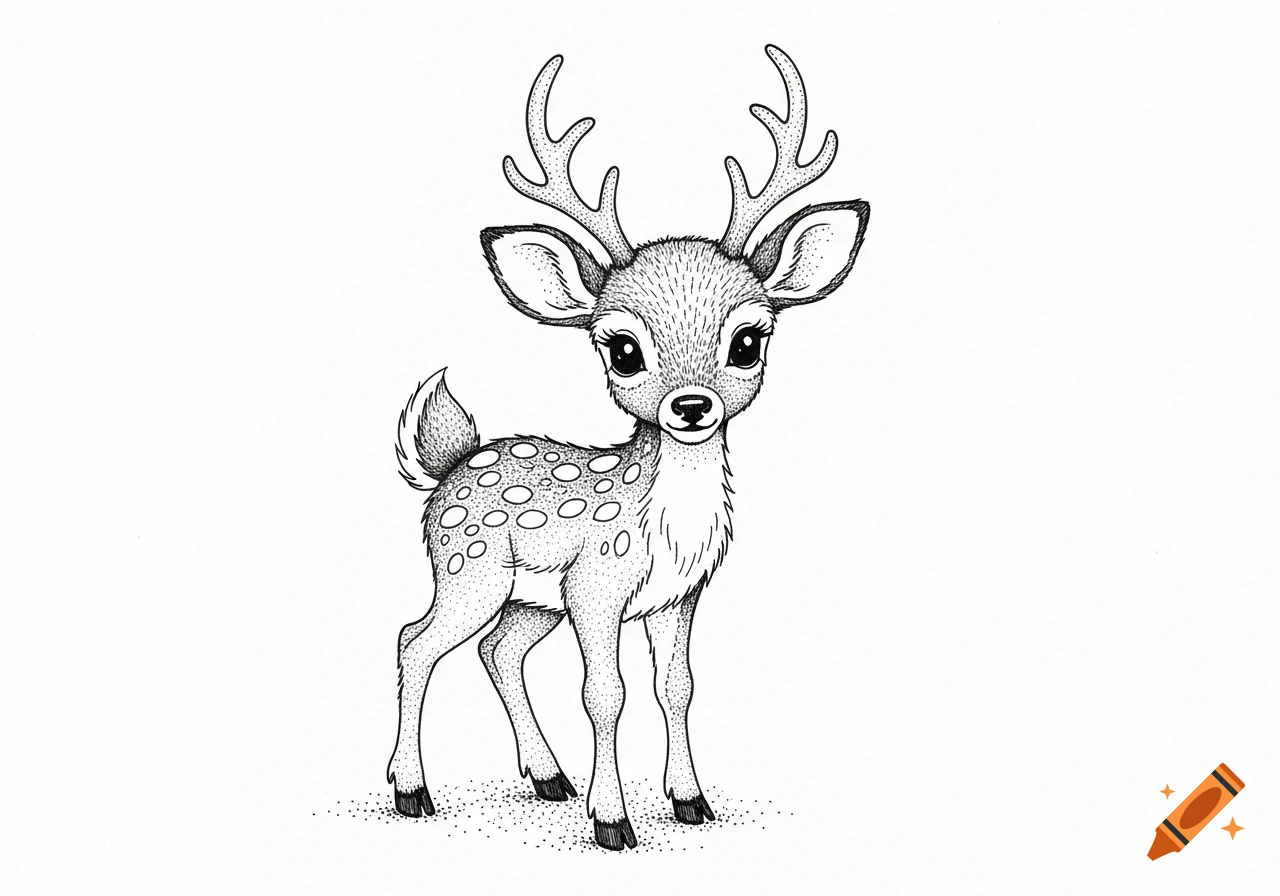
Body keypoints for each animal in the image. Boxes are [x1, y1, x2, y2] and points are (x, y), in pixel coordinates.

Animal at [388, 45, 869, 850]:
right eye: (622, 349)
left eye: (748, 340)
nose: (691, 406)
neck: (664, 527)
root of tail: (446, 466)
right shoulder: (596, 585)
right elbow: (603, 692)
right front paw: (612, 822)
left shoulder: (678, 596)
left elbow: (676, 685)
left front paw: (690, 801)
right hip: (468, 571)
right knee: (415, 640)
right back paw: (410, 790)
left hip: (528, 600)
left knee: (497, 650)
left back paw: (548, 778)